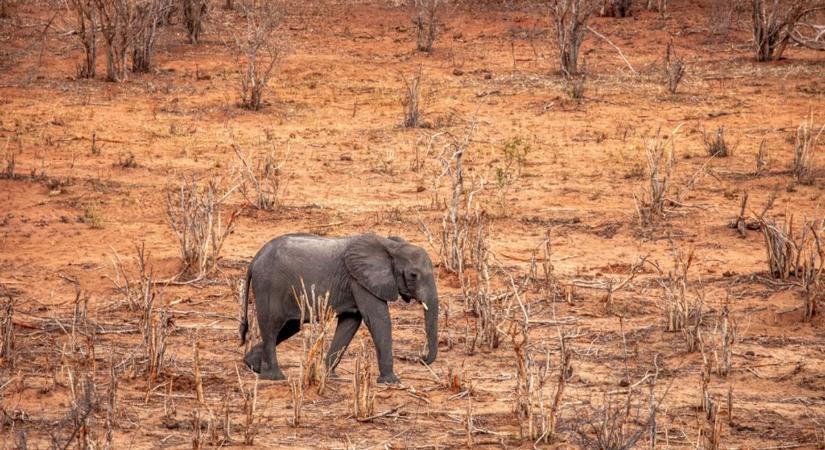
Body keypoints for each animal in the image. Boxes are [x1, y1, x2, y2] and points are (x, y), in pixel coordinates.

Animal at [238, 232, 438, 384]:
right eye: (413, 275)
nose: (420, 359)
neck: (391, 247)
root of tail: (255, 259)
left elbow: (350, 323)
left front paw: (330, 376)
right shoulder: (360, 280)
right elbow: (378, 320)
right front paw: (391, 382)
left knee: (287, 326)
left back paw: (253, 366)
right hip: (269, 286)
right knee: (272, 326)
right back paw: (275, 377)